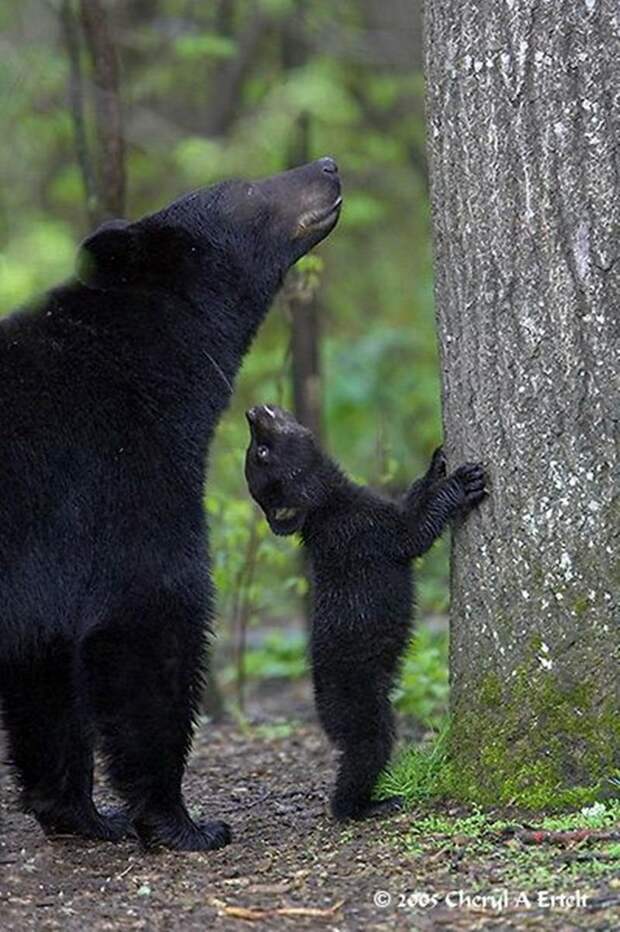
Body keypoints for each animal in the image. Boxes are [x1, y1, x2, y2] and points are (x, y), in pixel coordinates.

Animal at [0, 160, 342, 852]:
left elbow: (46, 662)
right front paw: (182, 821)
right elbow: (152, 613)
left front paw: (79, 812)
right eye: (245, 188)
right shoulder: (119, 471)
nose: (327, 166)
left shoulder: (52, 556)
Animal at [245, 404, 486, 820]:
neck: (331, 504)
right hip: (363, 707)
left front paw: (438, 460)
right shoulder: (366, 531)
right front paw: (463, 480)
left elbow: (412, 498)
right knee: (363, 755)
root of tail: (321, 712)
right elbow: (414, 530)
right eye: (260, 451)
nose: (254, 410)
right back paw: (370, 805)